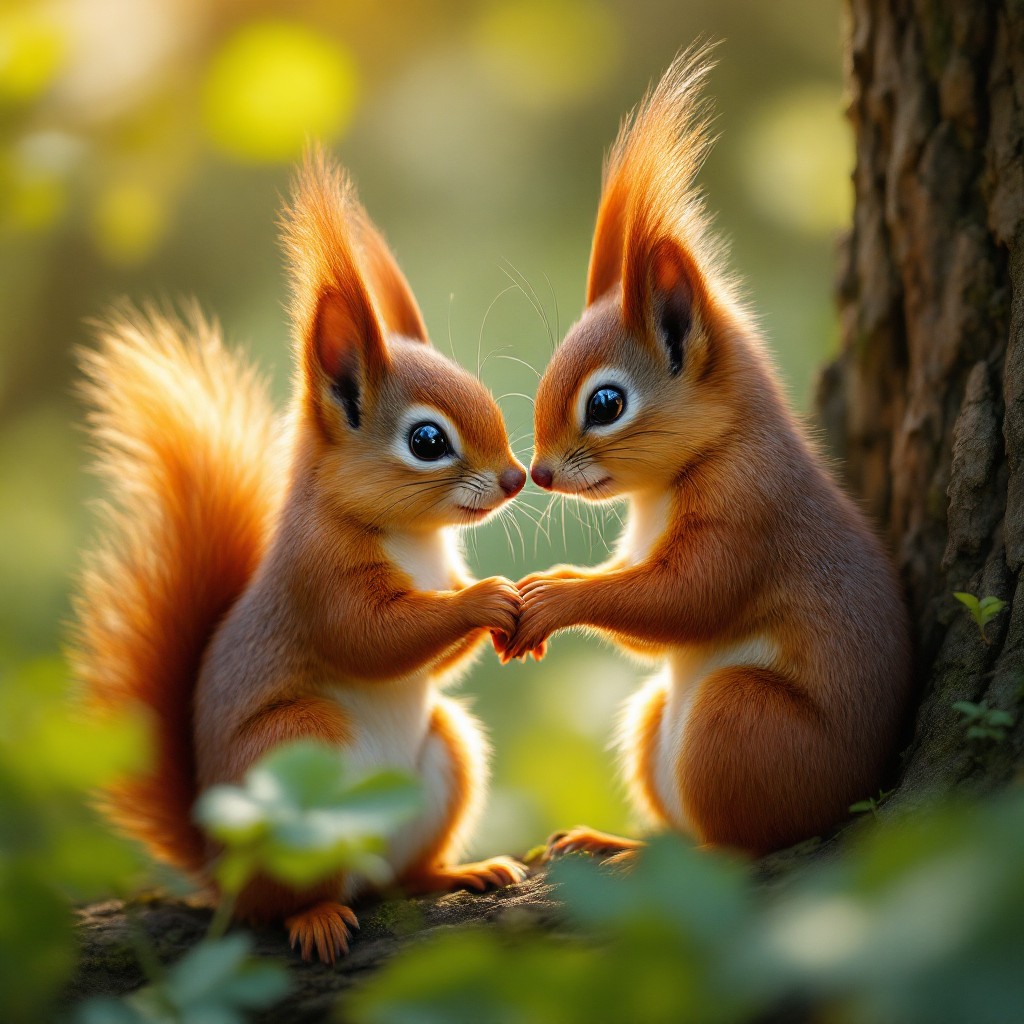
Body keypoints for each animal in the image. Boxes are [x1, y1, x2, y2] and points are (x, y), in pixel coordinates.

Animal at [72, 150, 529, 964]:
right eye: (427, 440)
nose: (514, 478)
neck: (414, 539)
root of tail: (218, 866)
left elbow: (433, 661)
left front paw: (500, 607)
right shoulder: (319, 577)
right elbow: (373, 637)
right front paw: (483, 602)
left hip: (444, 756)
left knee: (397, 877)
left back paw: (456, 872)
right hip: (292, 754)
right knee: (286, 900)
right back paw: (313, 917)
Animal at [503, 47, 913, 858]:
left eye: (606, 404)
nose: (540, 472)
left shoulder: (749, 511)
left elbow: (684, 598)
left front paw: (556, 596)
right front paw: (556, 582)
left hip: (741, 721)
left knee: (727, 855)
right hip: (651, 721)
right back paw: (615, 842)